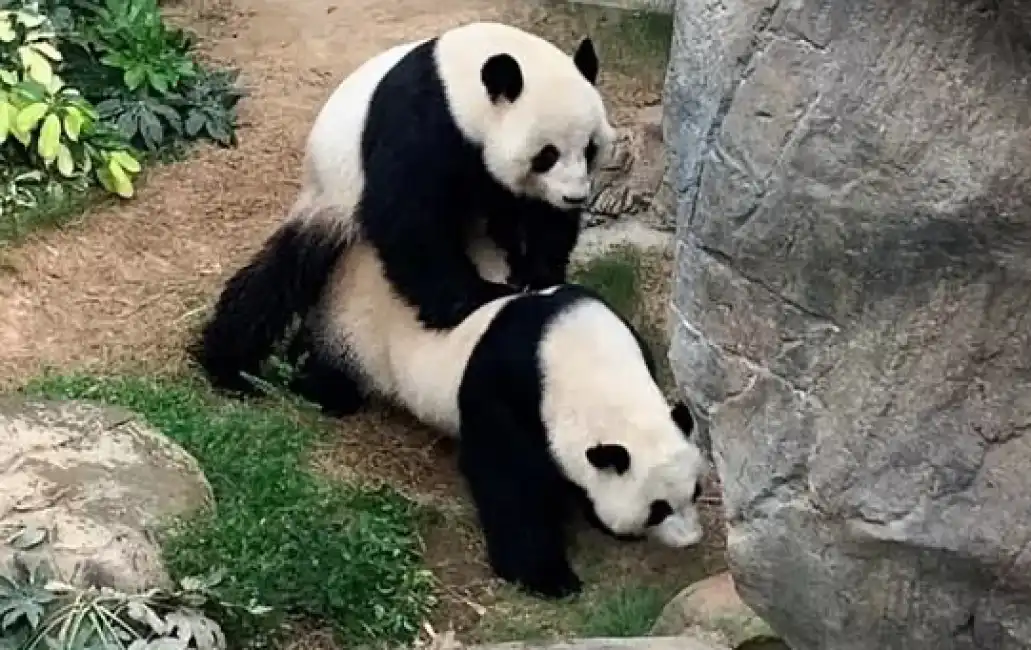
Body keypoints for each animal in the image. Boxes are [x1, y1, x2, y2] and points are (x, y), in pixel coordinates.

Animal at [190, 20, 614, 394]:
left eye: (590, 148)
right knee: (279, 277)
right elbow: (408, 219)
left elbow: (536, 216)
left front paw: (539, 273)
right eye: (547, 155)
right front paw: (472, 297)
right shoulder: (421, 121)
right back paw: (231, 365)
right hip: (329, 198)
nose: (575, 197)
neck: (461, 83)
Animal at [286, 235, 713, 602]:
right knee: (325, 364)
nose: (690, 538)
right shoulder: (506, 386)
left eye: (694, 492)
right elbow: (507, 479)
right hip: (354, 330)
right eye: (658, 508)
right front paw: (549, 577)